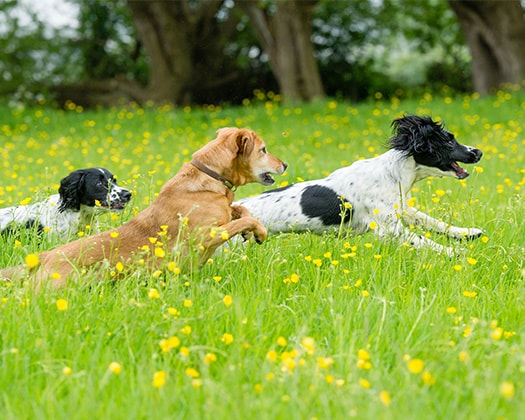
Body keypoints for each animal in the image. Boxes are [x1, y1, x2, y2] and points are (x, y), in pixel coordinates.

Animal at [235, 114, 482, 256]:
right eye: (449, 140)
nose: (479, 152)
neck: (393, 173)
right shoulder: (388, 227)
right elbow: (422, 239)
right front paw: (454, 252)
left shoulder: (401, 210)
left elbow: (432, 221)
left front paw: (467, 233)